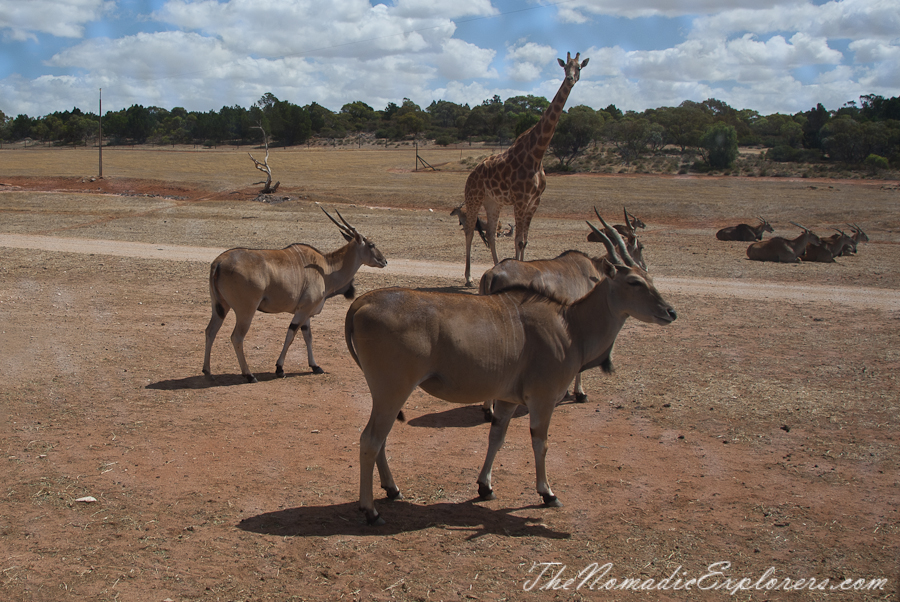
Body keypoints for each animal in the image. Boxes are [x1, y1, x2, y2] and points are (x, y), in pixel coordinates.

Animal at [202, 209, 384, 382]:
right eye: (371, 244)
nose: (384, 261)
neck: (326, 268)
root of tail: (218, 262)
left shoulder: (307, 313)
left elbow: (308, 336)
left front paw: (315, 366)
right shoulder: (302, 311)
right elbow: (291, 335)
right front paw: (279, 369)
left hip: (220, 308)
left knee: (210, 331)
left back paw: (208, 372)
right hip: (246, 311)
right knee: (237, 337)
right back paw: (249, 375)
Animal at [344, 214, 676, 520]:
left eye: (649, 278)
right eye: (634, 282)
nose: (670, 312)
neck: (569, 325)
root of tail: (361, 303)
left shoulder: (506, 401)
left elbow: (496, 438)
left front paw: (485, 487)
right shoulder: (543, 399)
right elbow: (540, 443)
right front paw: (547, 493)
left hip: (387, 395)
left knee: (380, 438)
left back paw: (392, 489)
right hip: (393, 391)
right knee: (370, 439)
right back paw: (370, 509)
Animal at [464, 52, 592, 286]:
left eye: (579, 67)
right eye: (565, 67)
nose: (570, 79)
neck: (537, 153)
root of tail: (471, 173)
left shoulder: (534, 202)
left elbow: (525, 240)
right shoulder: (521, 200)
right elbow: (518, 240)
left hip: (493, 201)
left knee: (491, 233)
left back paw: (495, 266)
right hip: (473, 197)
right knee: (470, 230)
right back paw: (468, 277)